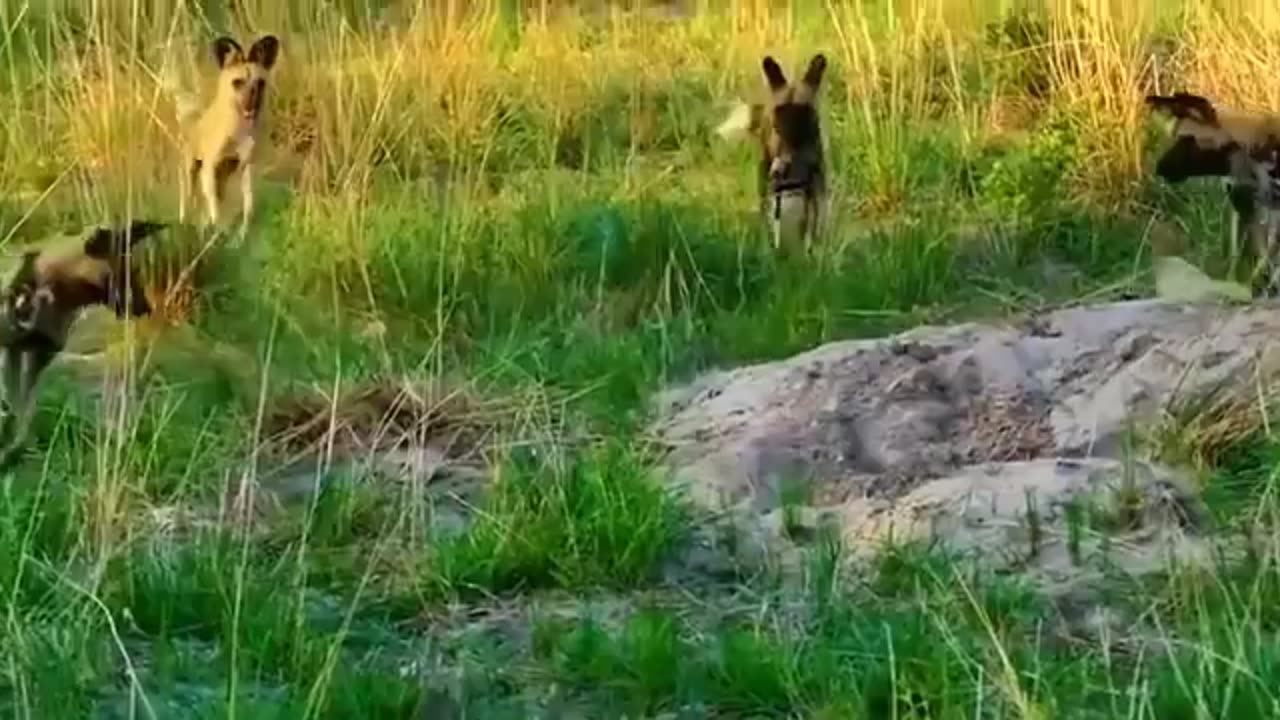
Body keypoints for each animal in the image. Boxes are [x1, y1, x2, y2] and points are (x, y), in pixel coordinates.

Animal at [165, 35, 282, 238]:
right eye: (237, 82)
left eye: (260, 83)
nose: (253, 100)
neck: (238, 129)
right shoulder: (209, 168)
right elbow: (215, 211)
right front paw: (221, 232)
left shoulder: (245, 168)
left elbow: (248, 207)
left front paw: (242, 235)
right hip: (191, 174)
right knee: (189, 204)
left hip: (222, 178)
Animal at [711, 51, 829, 252]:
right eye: (780, 111)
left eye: (803, 110)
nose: (788, 128)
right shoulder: (776, 187)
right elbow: (776, 226)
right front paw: (774, 251)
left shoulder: (814, 190)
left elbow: (809, 228)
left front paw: (810, 252)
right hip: (766, 181)